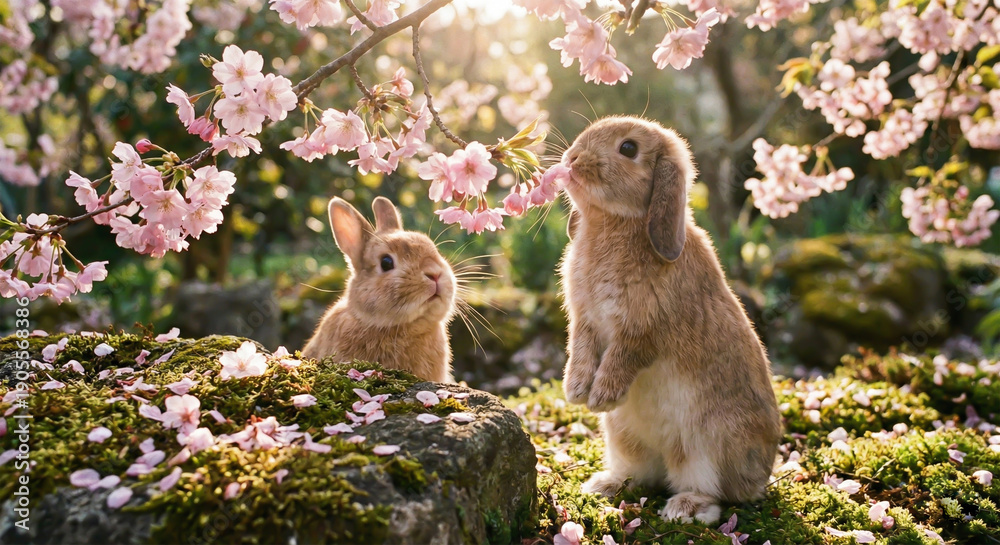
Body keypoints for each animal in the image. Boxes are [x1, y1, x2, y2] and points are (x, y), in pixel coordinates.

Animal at [558, 116, 781, 524]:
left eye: (628, 148)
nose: (573, 158)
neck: (616, 222)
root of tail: (760, 477)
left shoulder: (642, 331)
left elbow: (622, 358)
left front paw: (601, 397)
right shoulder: (585, 322)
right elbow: (580, 351)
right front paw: (576, 391)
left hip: (707, 445)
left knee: (713, 490)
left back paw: (686, 508)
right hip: (624, 439)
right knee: (642, 474)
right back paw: (605, 484)